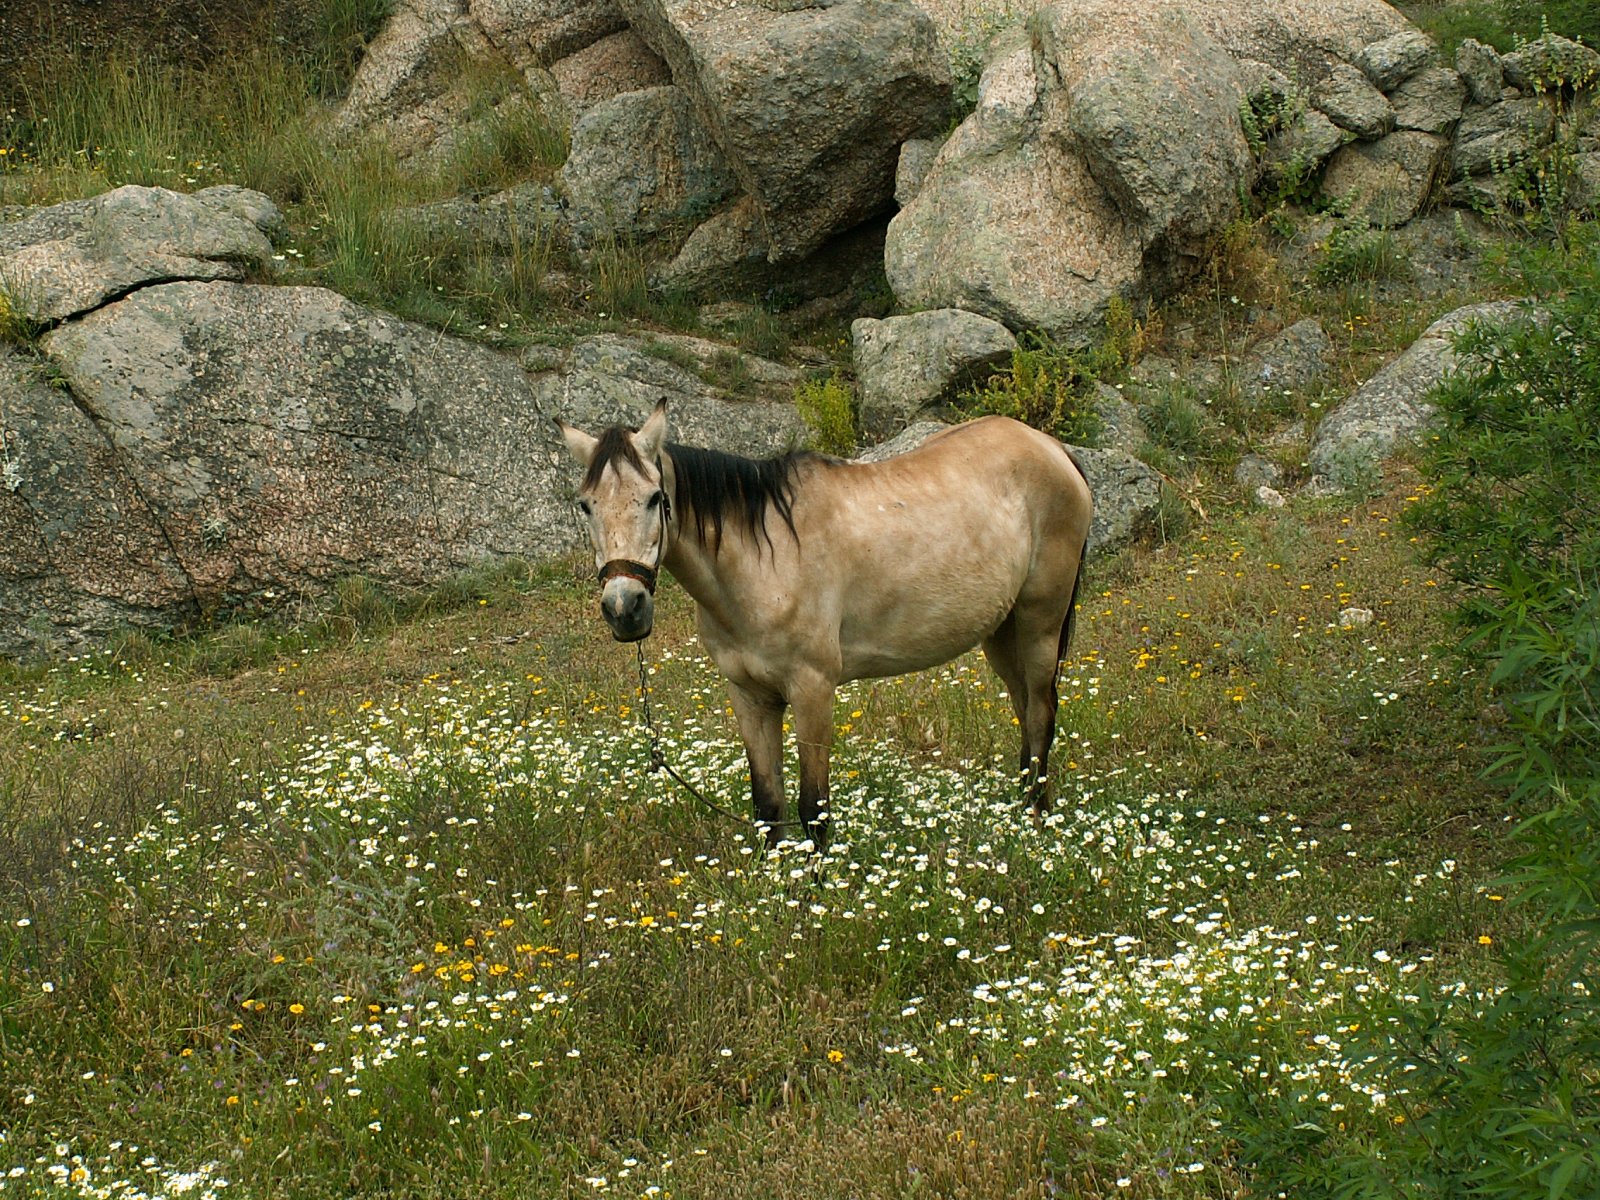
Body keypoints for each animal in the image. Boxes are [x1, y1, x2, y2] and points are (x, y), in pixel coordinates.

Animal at [558, 400, 1093, 847]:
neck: (762, 561)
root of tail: (1052, 449)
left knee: (1042, 714)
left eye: (654, 498)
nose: (625, 608)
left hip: (1040, 624)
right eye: (586, 504)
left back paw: (1037, 826)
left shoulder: (812, 689)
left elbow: (813, 808)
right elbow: (767, 804)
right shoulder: (748, 696)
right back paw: (1023, 818)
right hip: (1002, 634)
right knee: (1025, 712)